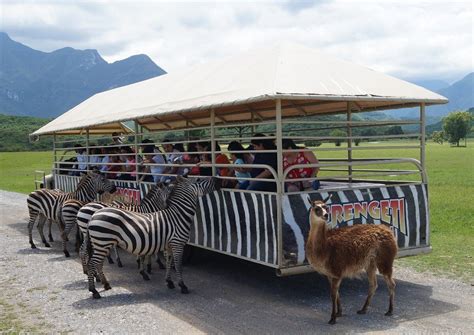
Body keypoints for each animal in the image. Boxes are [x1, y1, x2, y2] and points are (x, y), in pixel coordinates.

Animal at [86, 176, 219, 300]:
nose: (217, 179)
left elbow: (169, 262)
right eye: (198, 179)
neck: (178, 216)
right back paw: (94, 291)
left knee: (98, 263)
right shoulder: (178, 243)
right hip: (102, 242)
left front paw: (169, 282)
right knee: (92, 263)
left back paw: (106, 284)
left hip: (102, 243)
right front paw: (182, 286)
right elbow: (178, 265)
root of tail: (94, 215)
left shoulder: (168, 244)